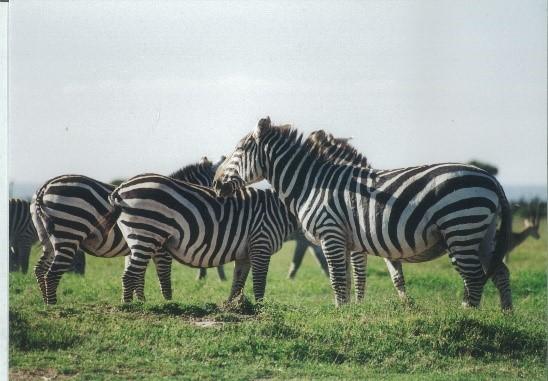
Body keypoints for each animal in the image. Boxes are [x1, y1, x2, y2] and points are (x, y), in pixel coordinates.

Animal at [29, 157, 223, 302]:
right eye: (217, 183)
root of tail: (45, 187)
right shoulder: (159, 246)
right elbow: (162, 274)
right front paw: (167, 302)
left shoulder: (137, 246)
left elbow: (137, 275)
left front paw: (138, 301)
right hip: (69, 232)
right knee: (51, 273)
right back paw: (53, 305)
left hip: (47, 237)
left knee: (40, 269)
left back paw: (44, 302)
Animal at [104, 173, 298, 302]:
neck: (278, 210)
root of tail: (120, 188)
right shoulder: (261, 242)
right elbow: (259, 281)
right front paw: (259, 308)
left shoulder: (246, 252)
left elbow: (238, 281)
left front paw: (233, 306)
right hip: (146, 233)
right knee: (129, 275)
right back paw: (130, 307)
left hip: (138, 237)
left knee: (135, 272)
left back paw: (140, 303)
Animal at [214, 117, 512, 310]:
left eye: (238, 149)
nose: (216, 184)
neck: (312, 183)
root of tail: (490, 178)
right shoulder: (347, 240)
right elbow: (347, 277)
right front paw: (350, 312)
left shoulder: (331, 232)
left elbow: (338, 277)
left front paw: (340, 314)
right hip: (482, 233)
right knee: (499, 271)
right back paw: (504, 315)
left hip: (461, 226)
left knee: (474, 276)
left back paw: (468, 316)